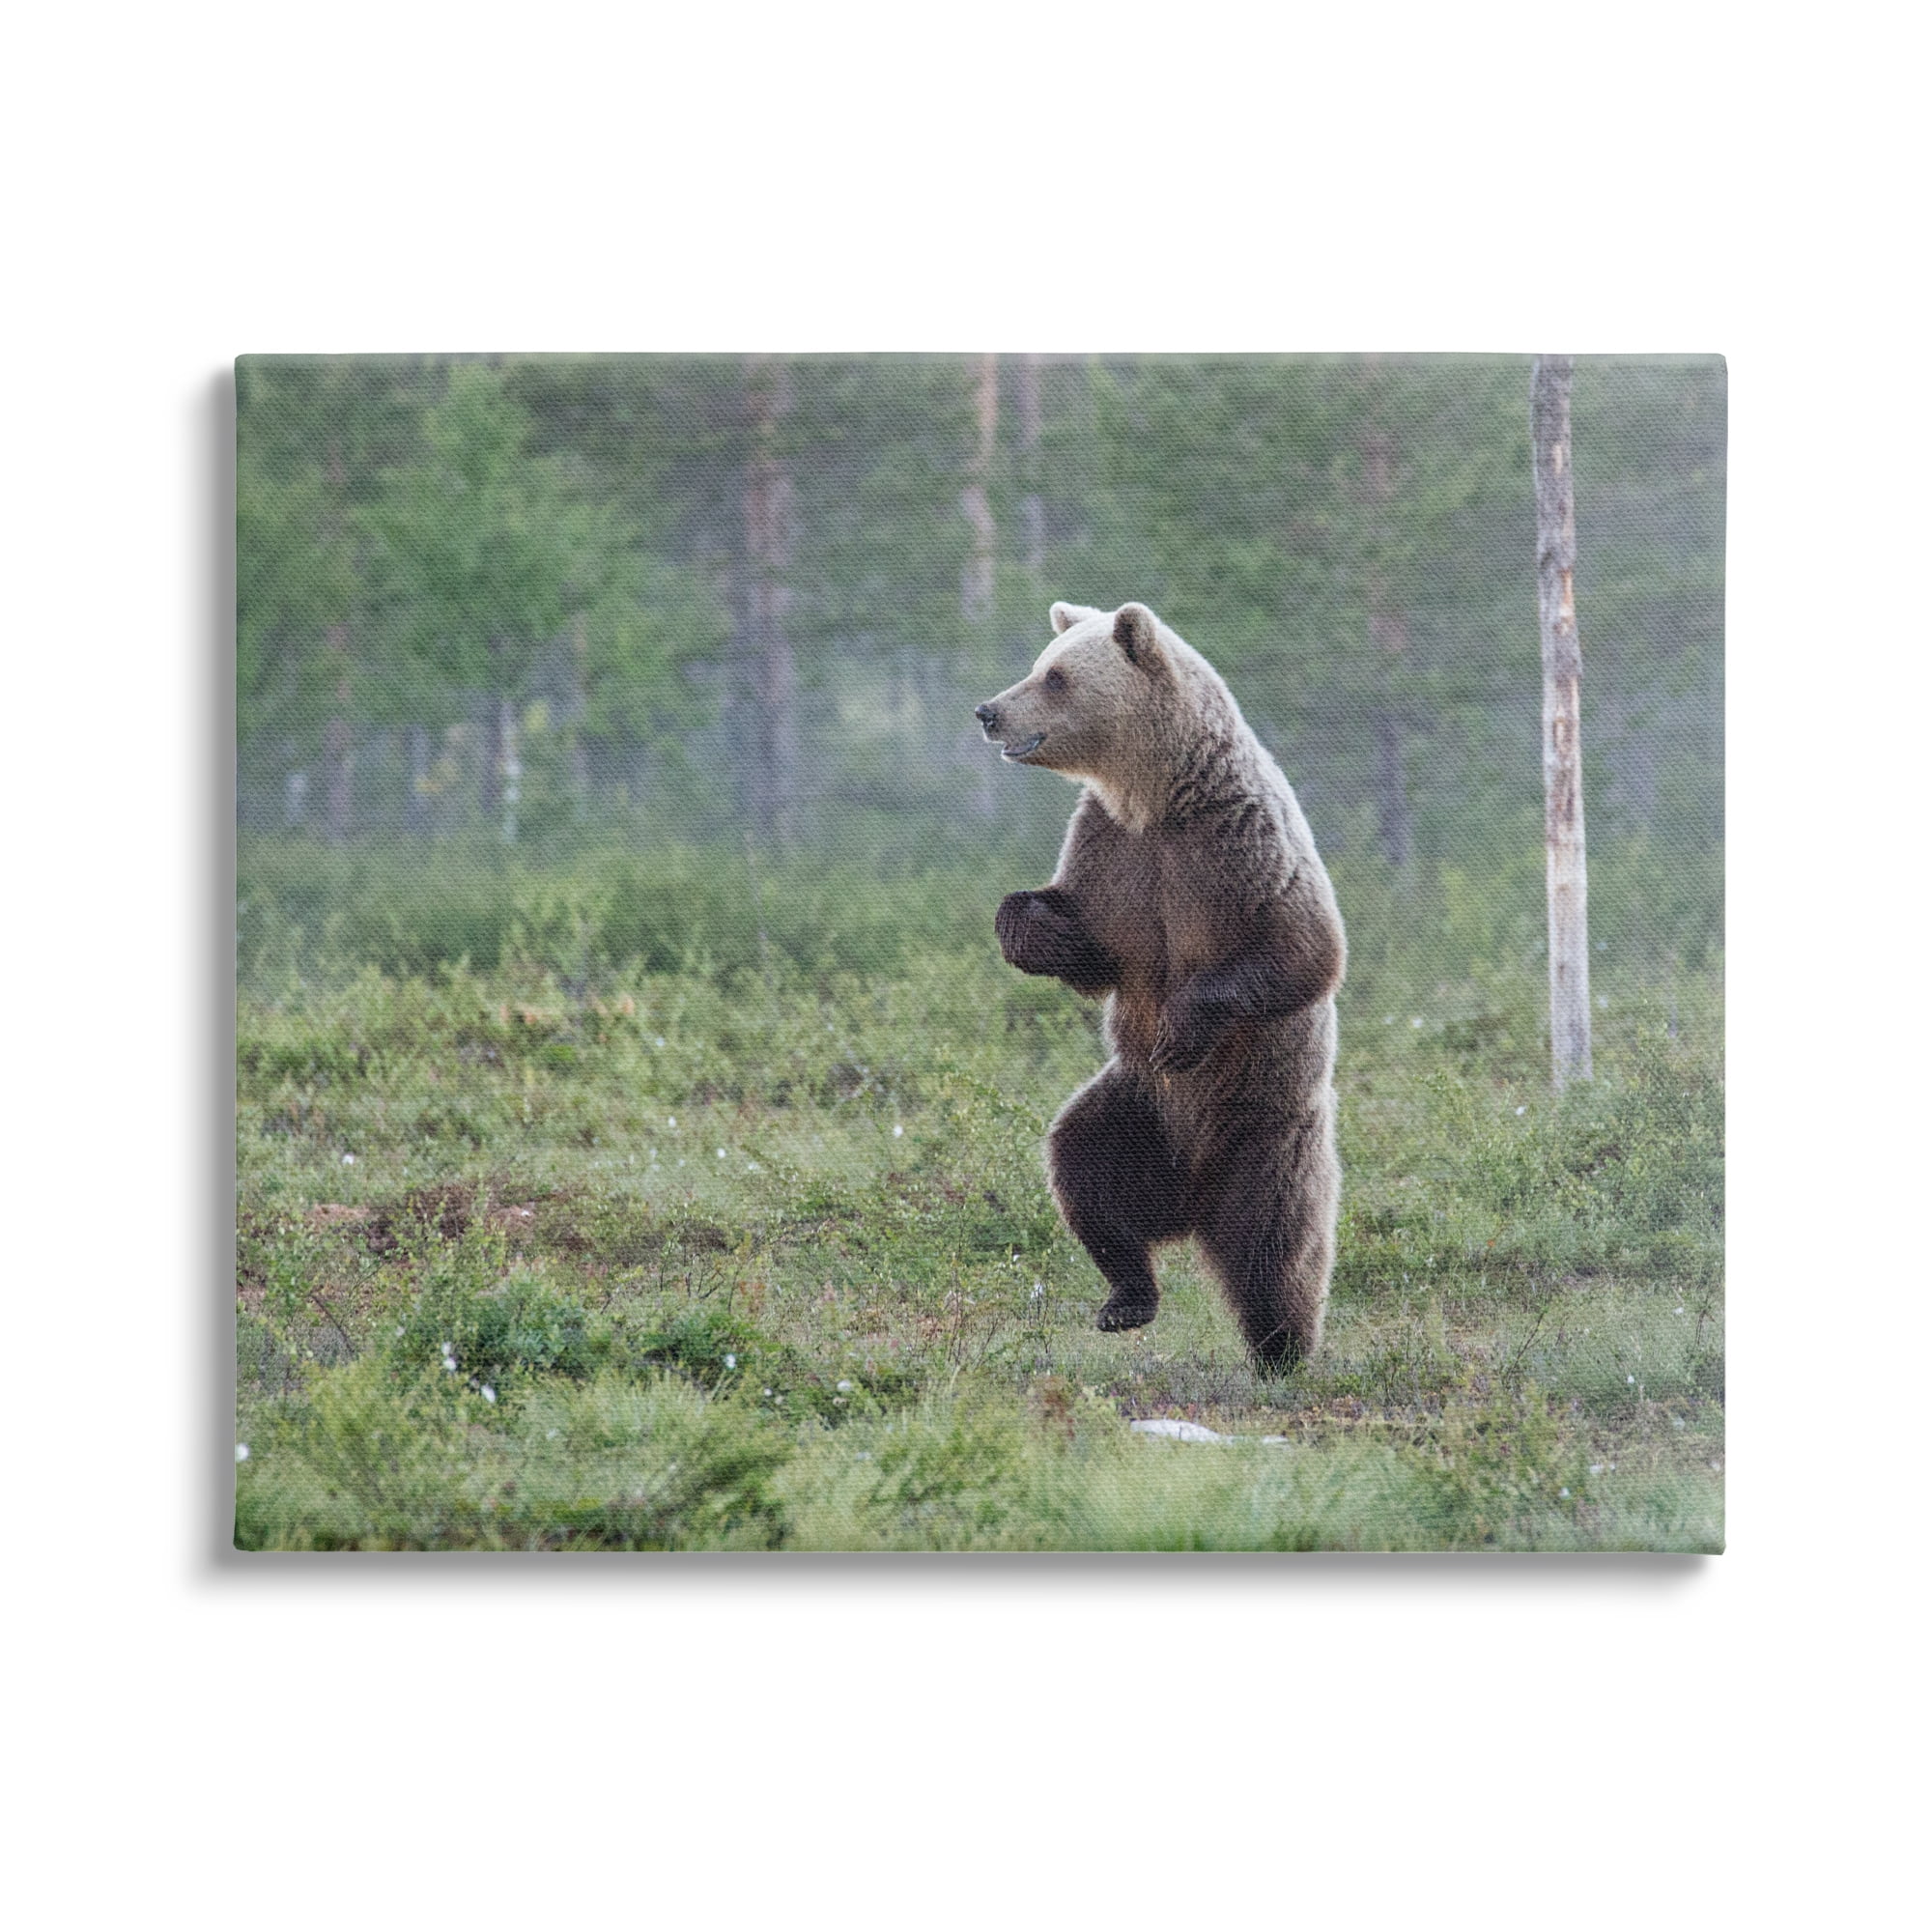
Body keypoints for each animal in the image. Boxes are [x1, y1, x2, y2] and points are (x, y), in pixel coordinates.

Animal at [975, 600, 1346, 1369]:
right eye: (1040, 664)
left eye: (1054, 677)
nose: (988, 711)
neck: (1157, 799)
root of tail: (1192, 1204)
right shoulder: (1112, 854)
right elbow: (1090, 949)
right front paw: (1032, 928)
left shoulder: (1237, 847)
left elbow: (1304, 951)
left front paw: (1182, 1027)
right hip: (1138, 1111)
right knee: (1082, 1168)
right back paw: (1126, 1297)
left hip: (1265, 1133)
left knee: (1277, 1249)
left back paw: (1282, 1351)